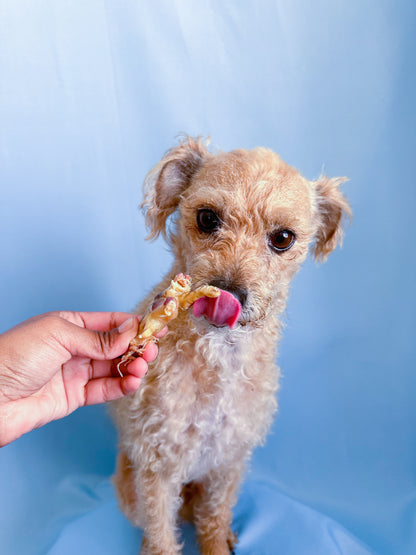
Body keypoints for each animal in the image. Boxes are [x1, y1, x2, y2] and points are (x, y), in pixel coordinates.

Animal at [111, 136, 352, 555]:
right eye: (207, 218)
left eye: (283, 238)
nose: (227, 292)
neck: (217, 359)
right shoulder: (158, 466)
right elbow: (161, 535)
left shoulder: (229, 462)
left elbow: (214, 516)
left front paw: (217, 540)